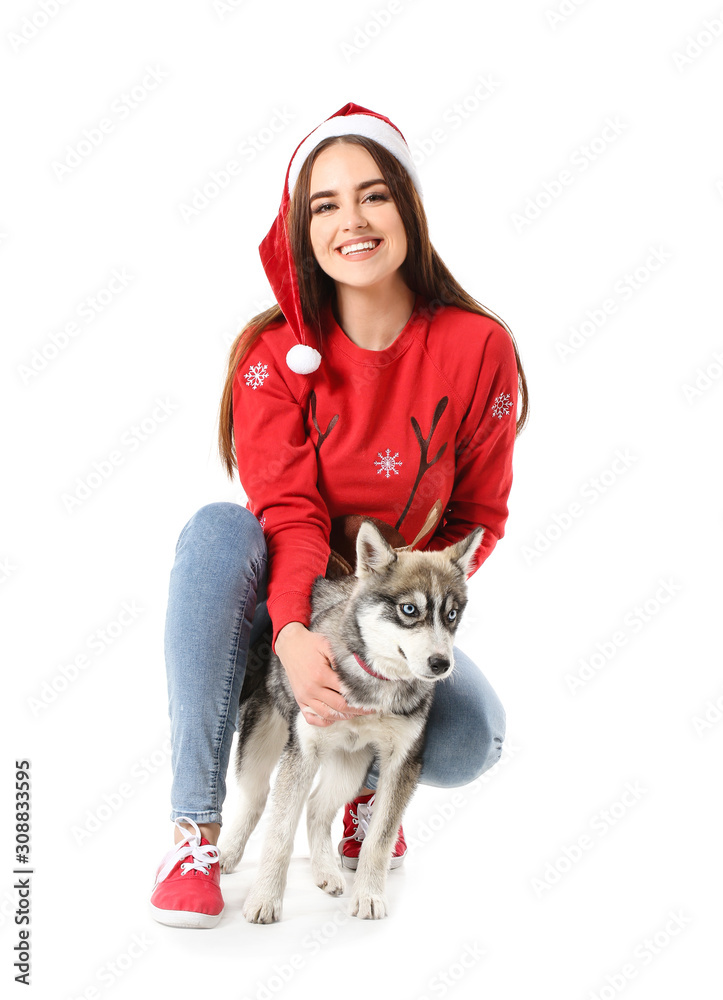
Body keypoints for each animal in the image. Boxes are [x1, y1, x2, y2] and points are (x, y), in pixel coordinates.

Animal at [218, 520, 484, 916]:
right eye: (409, 609)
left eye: (451, 615)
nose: (441, 664)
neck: (376, 685)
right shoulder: (304, 748)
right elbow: (280, 833)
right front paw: (265, 897)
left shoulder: (402, 762)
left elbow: (380, 838)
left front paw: (369, 894)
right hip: (262, 740)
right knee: (257, 798)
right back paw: (228, 853)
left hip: (351, 764)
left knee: (316, 809)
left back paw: (326, 870)